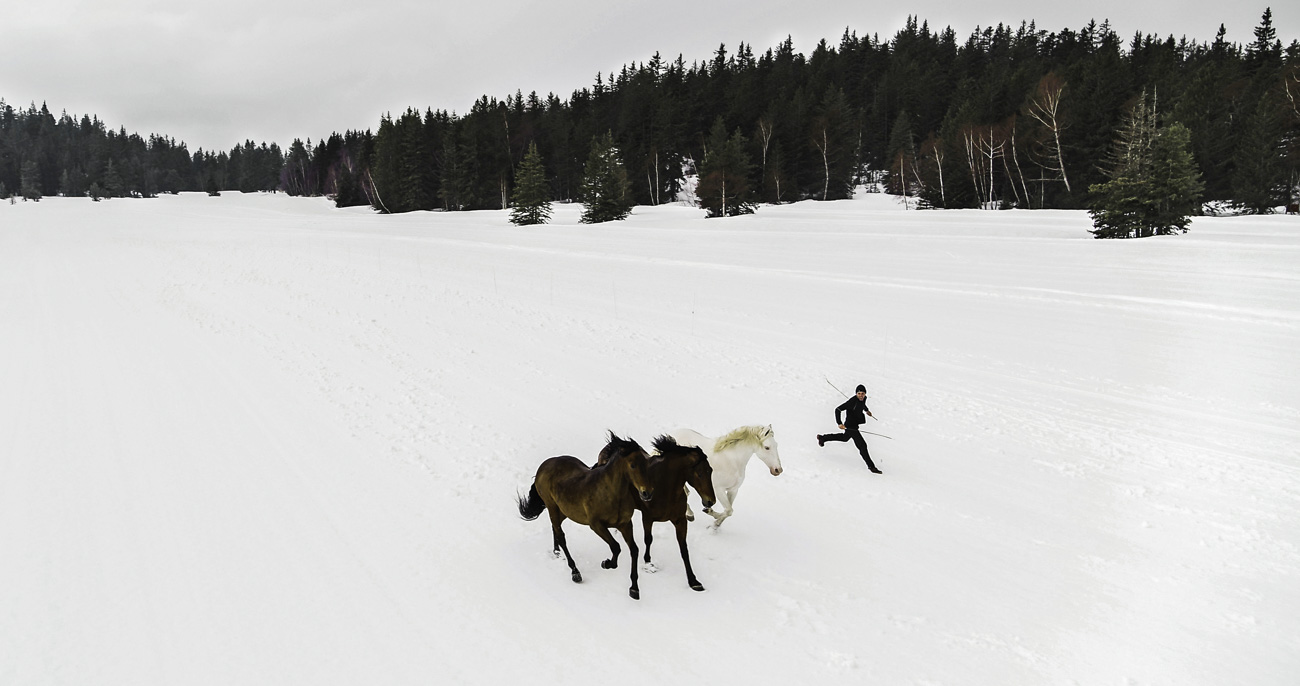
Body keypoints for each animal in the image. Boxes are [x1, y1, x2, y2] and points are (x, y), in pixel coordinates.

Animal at [517, 433, 655, 600]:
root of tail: (543, 466)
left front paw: (634, 589)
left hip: (565, 511)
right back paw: (575, 572)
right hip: (552, 507)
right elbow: (615, 547)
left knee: (555, 529)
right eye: (633, 465)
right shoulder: (596, 525)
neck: (612, 493)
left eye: (647, 463)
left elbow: (634, 550)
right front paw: (607, 563)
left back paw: (556, 552)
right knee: (561, 536)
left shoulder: (625, 524)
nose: (647, 493)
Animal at [595, 433, 717, 589]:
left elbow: (684, 549)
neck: (665, 487)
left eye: (710, 470)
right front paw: (647, 561)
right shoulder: (647, 517)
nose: (710, 501)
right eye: (700, 473)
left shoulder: (680, 520)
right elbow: (648, 539)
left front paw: (693, 581)